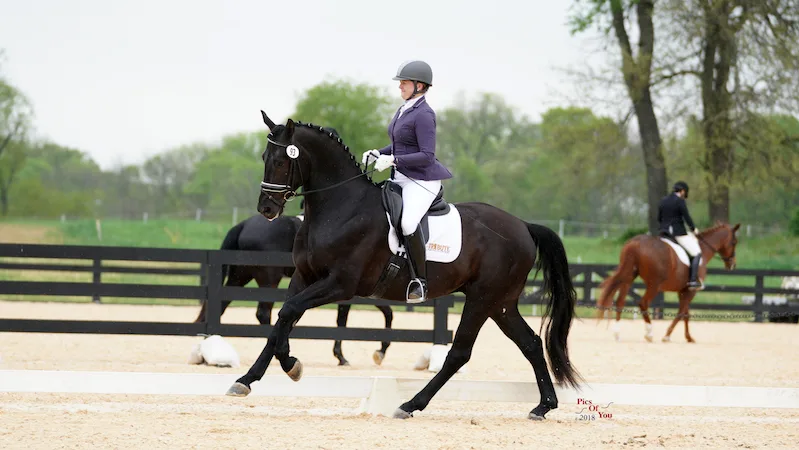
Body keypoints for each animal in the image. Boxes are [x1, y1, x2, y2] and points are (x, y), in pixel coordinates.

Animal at [194, 213, 394, 366]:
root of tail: (244, 224)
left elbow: (382, 314)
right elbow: (347, 321)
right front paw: (350, 355)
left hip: (240, 276)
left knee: (222, 305)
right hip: (268, 279)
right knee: (263, 313)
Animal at [224, 113, 582, 421]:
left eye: (282, 161)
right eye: (264, 157)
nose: (267, 209)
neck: (340, 208)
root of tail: (523, 226)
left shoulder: (340, 284)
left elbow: (289, 313)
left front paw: (291, 364)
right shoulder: (304, 277)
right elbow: (283, 319)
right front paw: (251, 378)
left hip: (483, 299)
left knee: (459, 353)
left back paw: (410, 404)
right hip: (501, 303)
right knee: (530, 344)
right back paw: (543, 406)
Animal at [596, 222, 740, 343]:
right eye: (734, 242)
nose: (732, 265)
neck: (703, 249)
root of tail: (635, 243)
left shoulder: (683, 290)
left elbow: (686, 313)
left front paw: (688, 337)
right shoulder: (691, 291)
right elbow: (681, 312)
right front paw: (667, 336)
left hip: (628, 277)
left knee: (620, 301)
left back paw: (617, 334)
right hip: (654, 285)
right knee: (643, 303)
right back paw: (649, 334)